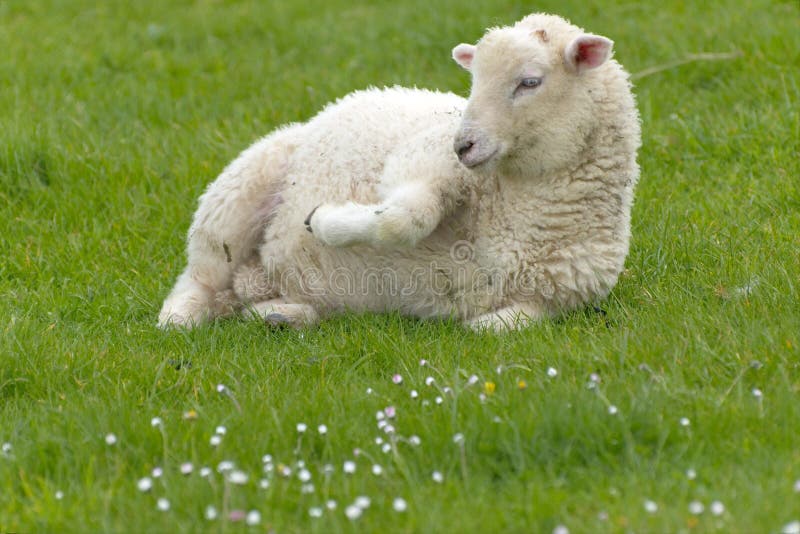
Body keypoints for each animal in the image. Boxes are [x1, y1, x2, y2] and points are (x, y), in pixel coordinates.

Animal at [159, 11, 640, 330]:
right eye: (473, 81)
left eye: (530, 82)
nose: (463, 144)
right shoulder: (426, 156)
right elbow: (402, 220)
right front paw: (325, 221)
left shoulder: (554, 299)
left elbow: (496, 327)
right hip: (236, 194)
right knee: (199, 276)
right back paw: (180, 318)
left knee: (248, 296)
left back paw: (279, 313)